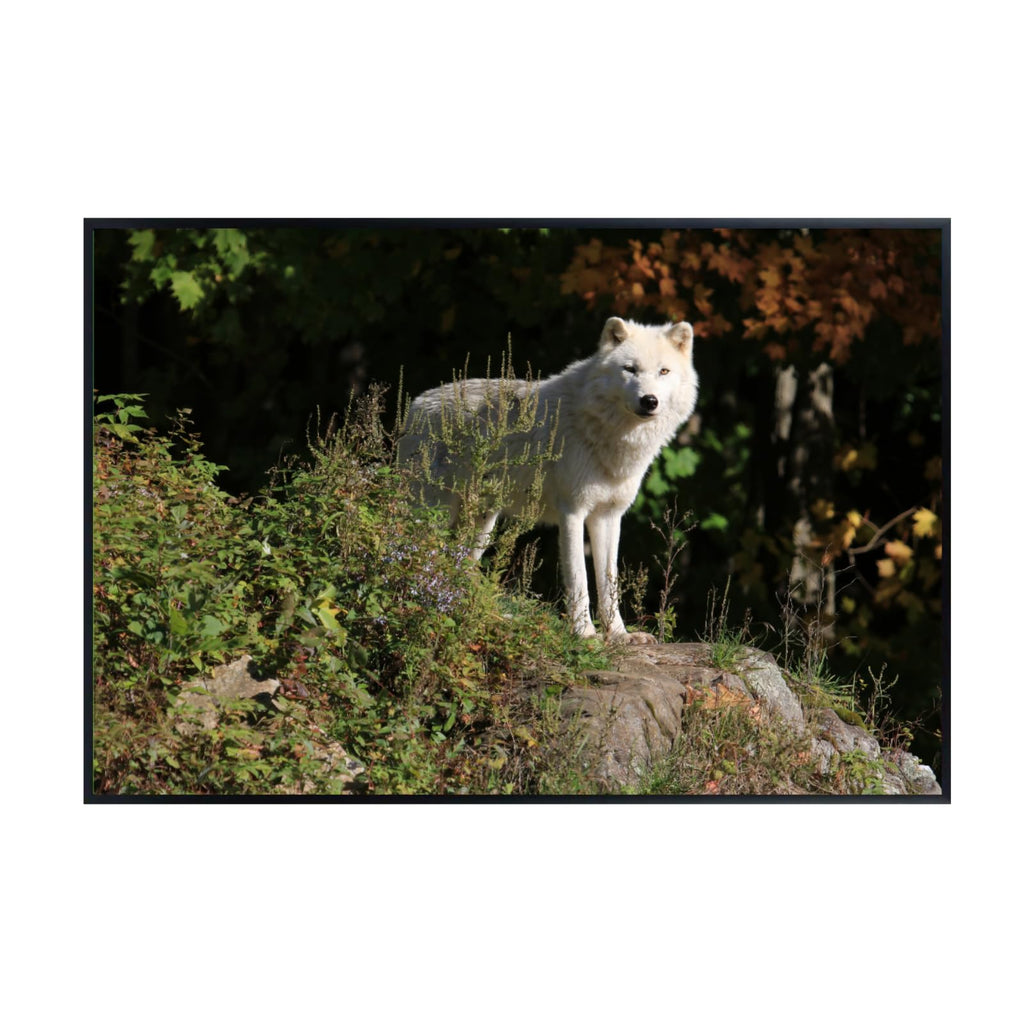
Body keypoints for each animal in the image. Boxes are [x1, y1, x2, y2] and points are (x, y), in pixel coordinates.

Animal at [398, 317, 698, 643]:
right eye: (629, 369)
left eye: (664, 371)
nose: (649, 400)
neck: (609, 435)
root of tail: (416, 404)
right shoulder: (573, 512)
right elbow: (580, 581)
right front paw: (585, 634)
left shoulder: (608, 515)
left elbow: (609, 584)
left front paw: (619, 636)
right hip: (434, 514)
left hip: (481, 524)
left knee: (459, 568)